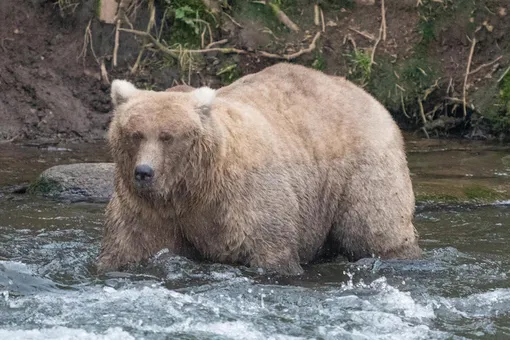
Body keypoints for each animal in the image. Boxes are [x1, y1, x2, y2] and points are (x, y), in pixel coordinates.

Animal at [96, 62, 422, 274]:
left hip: (362, 168)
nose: (144, 172)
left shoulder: (245, 199)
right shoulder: (148, 210)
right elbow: (128, 246)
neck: (192, 188)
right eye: (135, 134)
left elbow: (270, 249)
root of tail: (368, 95)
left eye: (167, 136)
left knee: (375, 228)